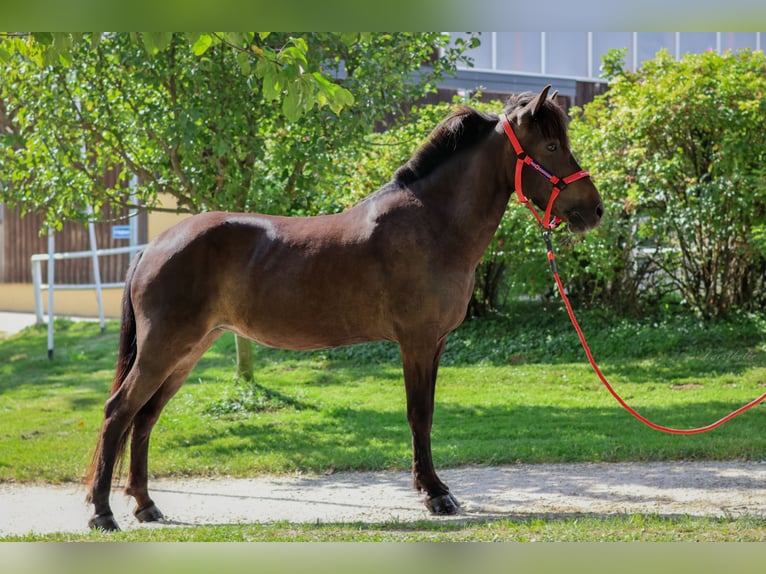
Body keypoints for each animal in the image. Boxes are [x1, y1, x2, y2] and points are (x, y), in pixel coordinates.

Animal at [85, 84, 608, 532]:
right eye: (551, 146)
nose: (595, 210)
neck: (431, 222)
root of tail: (154, 246)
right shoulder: (417, 342)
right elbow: (419, 414)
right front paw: (435, 494)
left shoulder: (435, 343)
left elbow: (427, 412)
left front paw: (433, 488)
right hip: (164, 349)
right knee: (119, 411)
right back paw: (102, 513)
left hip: (186, 351)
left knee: (144, 418)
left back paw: (146, 505)